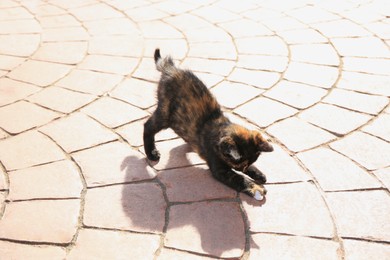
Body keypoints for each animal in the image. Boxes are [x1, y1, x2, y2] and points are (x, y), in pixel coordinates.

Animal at [143, 48, 274, 199]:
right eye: (237, 166)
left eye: (246, 165)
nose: (244, 168)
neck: (220, 127)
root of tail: (170, 68)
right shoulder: (220, 170)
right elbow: (239, 179)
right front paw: (255, 188)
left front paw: (258, 174)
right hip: (165, 113)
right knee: (147, 126)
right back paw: (151, 153)